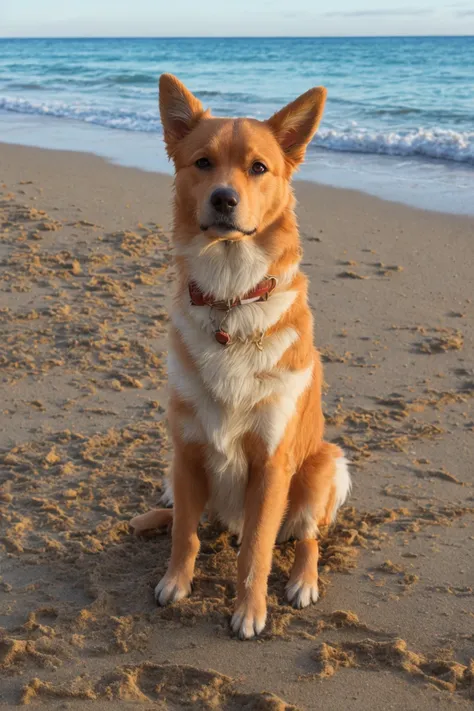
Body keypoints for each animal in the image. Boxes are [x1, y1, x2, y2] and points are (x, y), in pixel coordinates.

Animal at [131, 75, 350, 644]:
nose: (224, 199)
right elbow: (185, 534)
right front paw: (175, 581)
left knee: (307, 539)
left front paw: (250, 611)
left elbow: (255, 550)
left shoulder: (271, 466)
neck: (231, 297)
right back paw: (150, 519)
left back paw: (302, 582)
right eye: (203, 162)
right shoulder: (187, 453)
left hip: (322, 467)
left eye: (258, 168)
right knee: (187, 517)